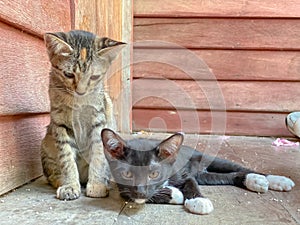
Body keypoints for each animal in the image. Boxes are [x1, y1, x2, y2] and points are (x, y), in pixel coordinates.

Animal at [40, 29, 124, 200]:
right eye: (68, 74)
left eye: (94, 77)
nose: (80, 91)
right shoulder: (60, 123)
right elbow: (66, 158)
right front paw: (70, 185)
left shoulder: (98, 121)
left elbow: (98, 154)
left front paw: (97, 184)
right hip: (46, 146)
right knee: (52, 173)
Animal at [101, 128, 296, 214]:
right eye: (127, 174)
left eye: (154, 174)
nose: (141, 190)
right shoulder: (122, 187)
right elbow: (135, 196)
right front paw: (174, 194)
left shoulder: (183, 174)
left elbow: (189, 182)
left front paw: (198, 201)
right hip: (205, 176)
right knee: (228, 176)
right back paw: (255, 180)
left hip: (210, 159)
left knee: (238, 168)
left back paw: (273, 179)